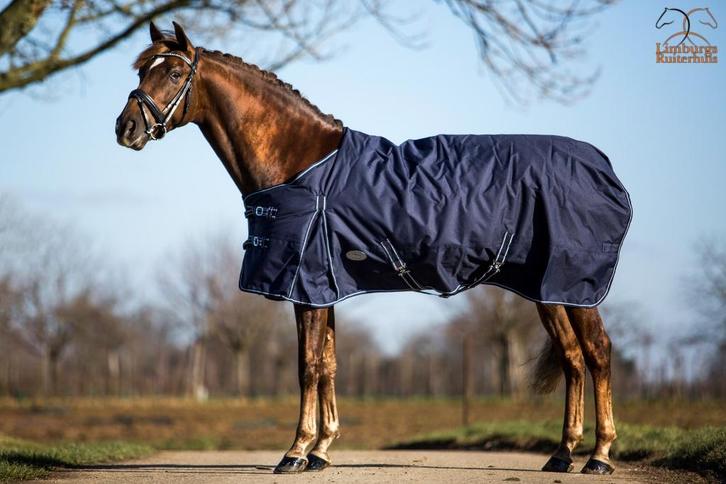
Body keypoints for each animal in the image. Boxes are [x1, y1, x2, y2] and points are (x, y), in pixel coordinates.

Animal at [115, 22, 623, 476]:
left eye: (174, 73)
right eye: (141, 71)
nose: (125, 128)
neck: (299, 162)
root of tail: (603, 166)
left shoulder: (304, 285)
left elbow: (307, 366)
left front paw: (294, 452)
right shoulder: (323, 288)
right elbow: (330, 364)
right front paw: (321, 450)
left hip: (574, 287)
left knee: (597, 353)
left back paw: (599, 457)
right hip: (548, 291)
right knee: (572, 358)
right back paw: (562, 454)